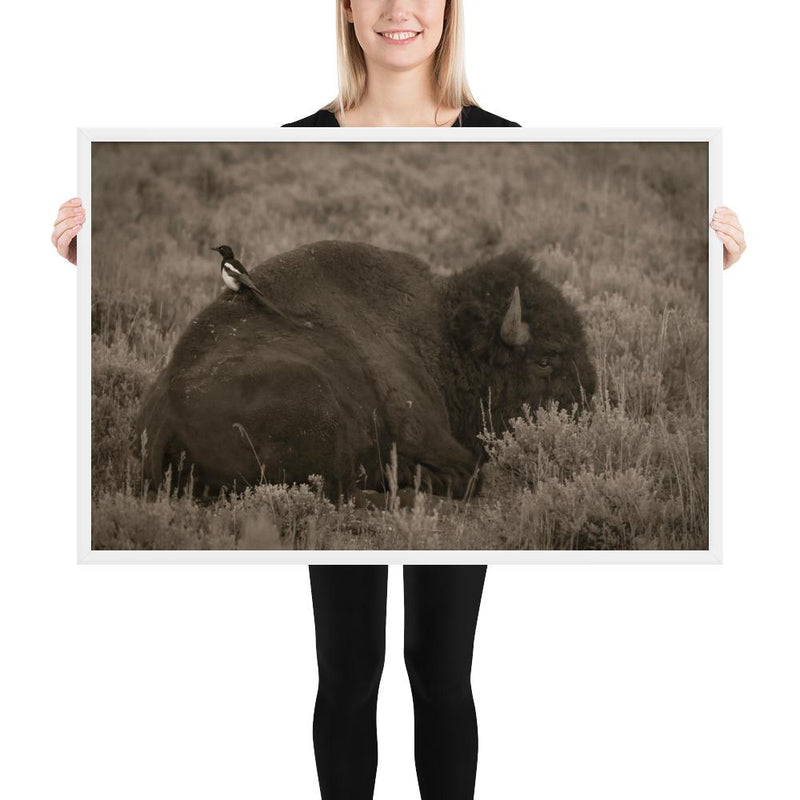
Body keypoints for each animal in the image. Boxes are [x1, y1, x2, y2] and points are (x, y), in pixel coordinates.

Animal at [135, 240, 595, 500]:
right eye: (544, 360)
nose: (586, 407)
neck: (442, 336)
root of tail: (162, 421)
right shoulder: (434, 440)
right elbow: (469, 475)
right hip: (318, 402)